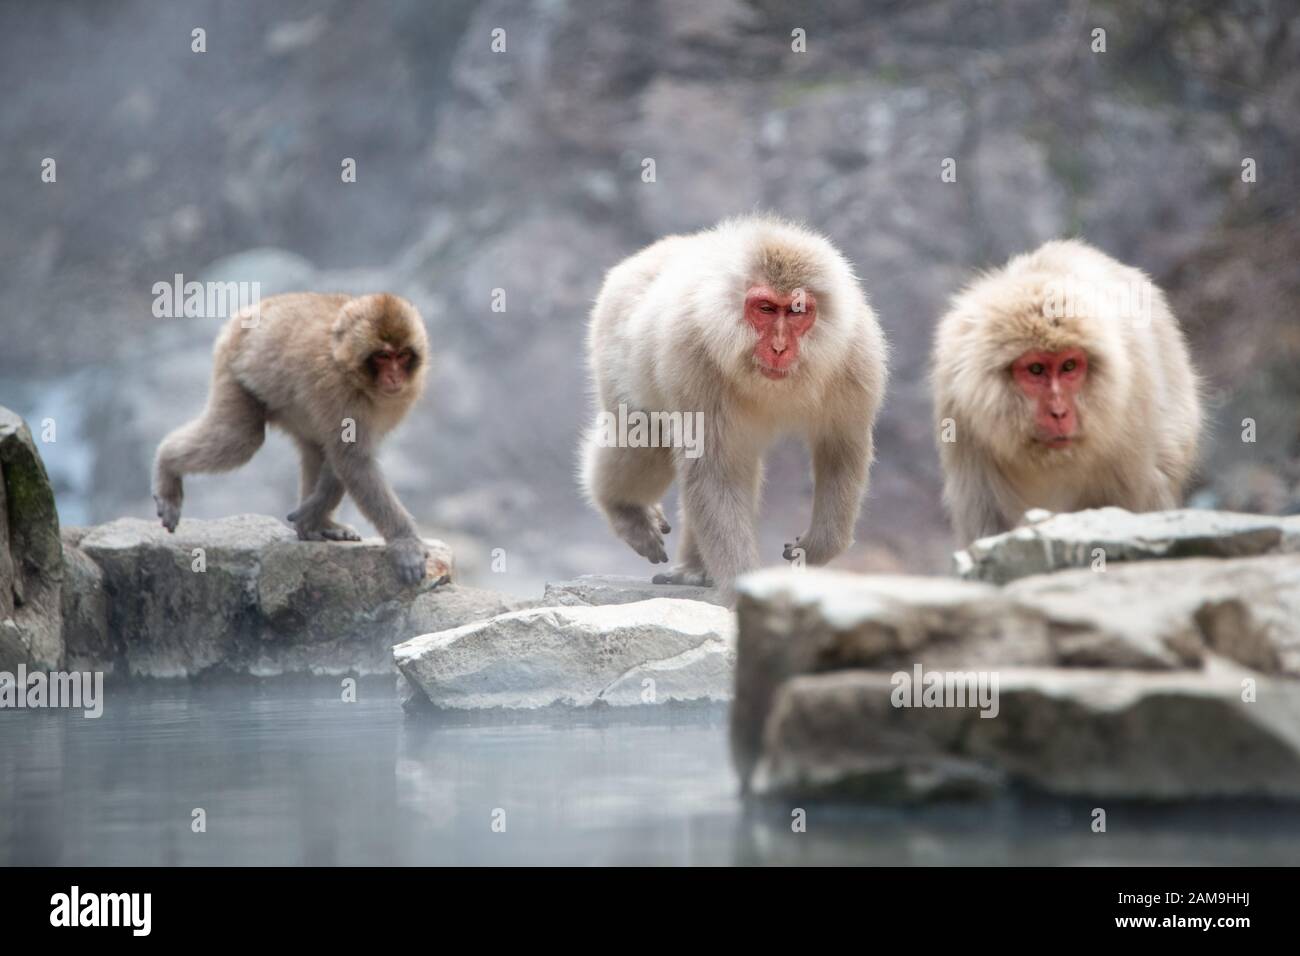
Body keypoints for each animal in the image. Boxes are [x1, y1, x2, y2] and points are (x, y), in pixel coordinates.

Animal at [153, 291, 431, 582]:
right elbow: (352, 457)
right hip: (233, 369)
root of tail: (252, 310)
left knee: (314, 448)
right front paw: (405, 542)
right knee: (240, 439)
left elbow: (342, 457)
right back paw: (167, 468)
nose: (395, 377)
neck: (348, 368)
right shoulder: (335, 388)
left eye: (402, 355)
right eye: (383, 356)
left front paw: (312, 512)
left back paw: (322, 523)